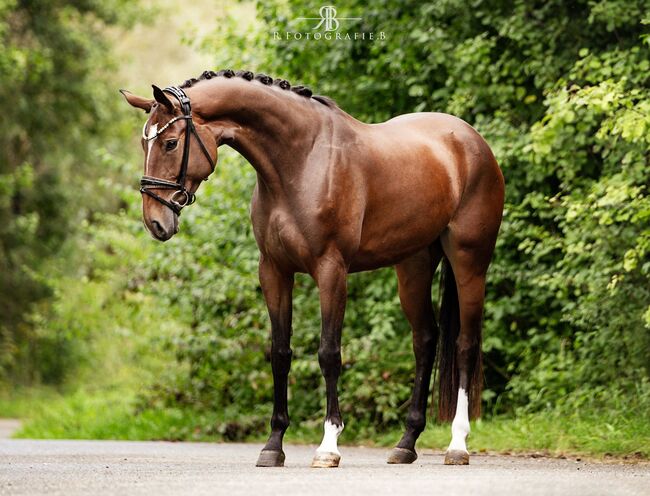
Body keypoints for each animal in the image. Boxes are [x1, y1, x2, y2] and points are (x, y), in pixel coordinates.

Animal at [123, 70, 506, 468]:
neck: (301, 160)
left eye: (170, 143)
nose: (155, 222)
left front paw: (328, 445)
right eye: (144, 144)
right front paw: (273, 445)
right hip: (413, 266)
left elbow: (329, 353)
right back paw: (406, 443)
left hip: (469, 261)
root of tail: (471, 139)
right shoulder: (274, 271)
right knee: (425, 340)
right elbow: (280, 353)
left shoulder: (331, 270)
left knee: (465, 343)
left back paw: (457, 444)